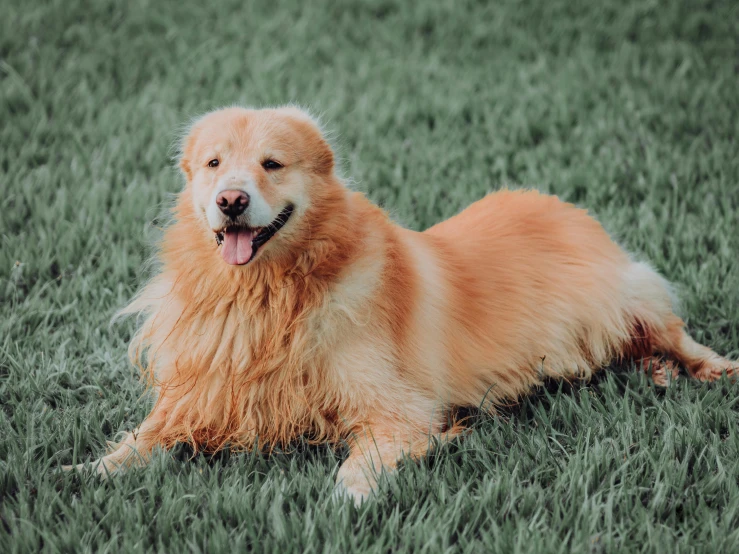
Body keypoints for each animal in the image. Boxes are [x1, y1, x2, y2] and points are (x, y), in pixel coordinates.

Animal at [68, 104, 736, 500]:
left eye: (272, 164)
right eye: (212, 163)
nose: (230, 200)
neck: (271, 292)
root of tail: (561, 202)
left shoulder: (396, 411)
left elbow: (356, 468)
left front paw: (339, 500)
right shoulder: (199, 395)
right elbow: (141, 440)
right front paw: (84, 474)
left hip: (625, 294)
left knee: (675, 332)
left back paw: (704, 369)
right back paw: (655, 372)